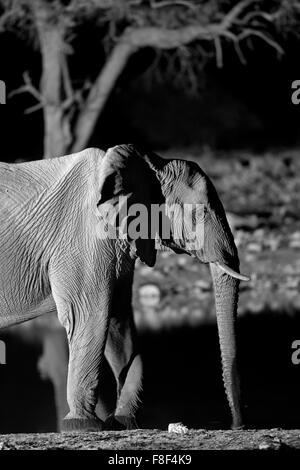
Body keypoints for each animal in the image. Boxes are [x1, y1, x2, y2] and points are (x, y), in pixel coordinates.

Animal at [0, 145, 248, 432]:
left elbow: (120, 323)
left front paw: (123, 421)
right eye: (199, 213)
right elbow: (90, 317)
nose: (236, 426)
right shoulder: (85, 240)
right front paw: (84, 426)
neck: (147, 164)